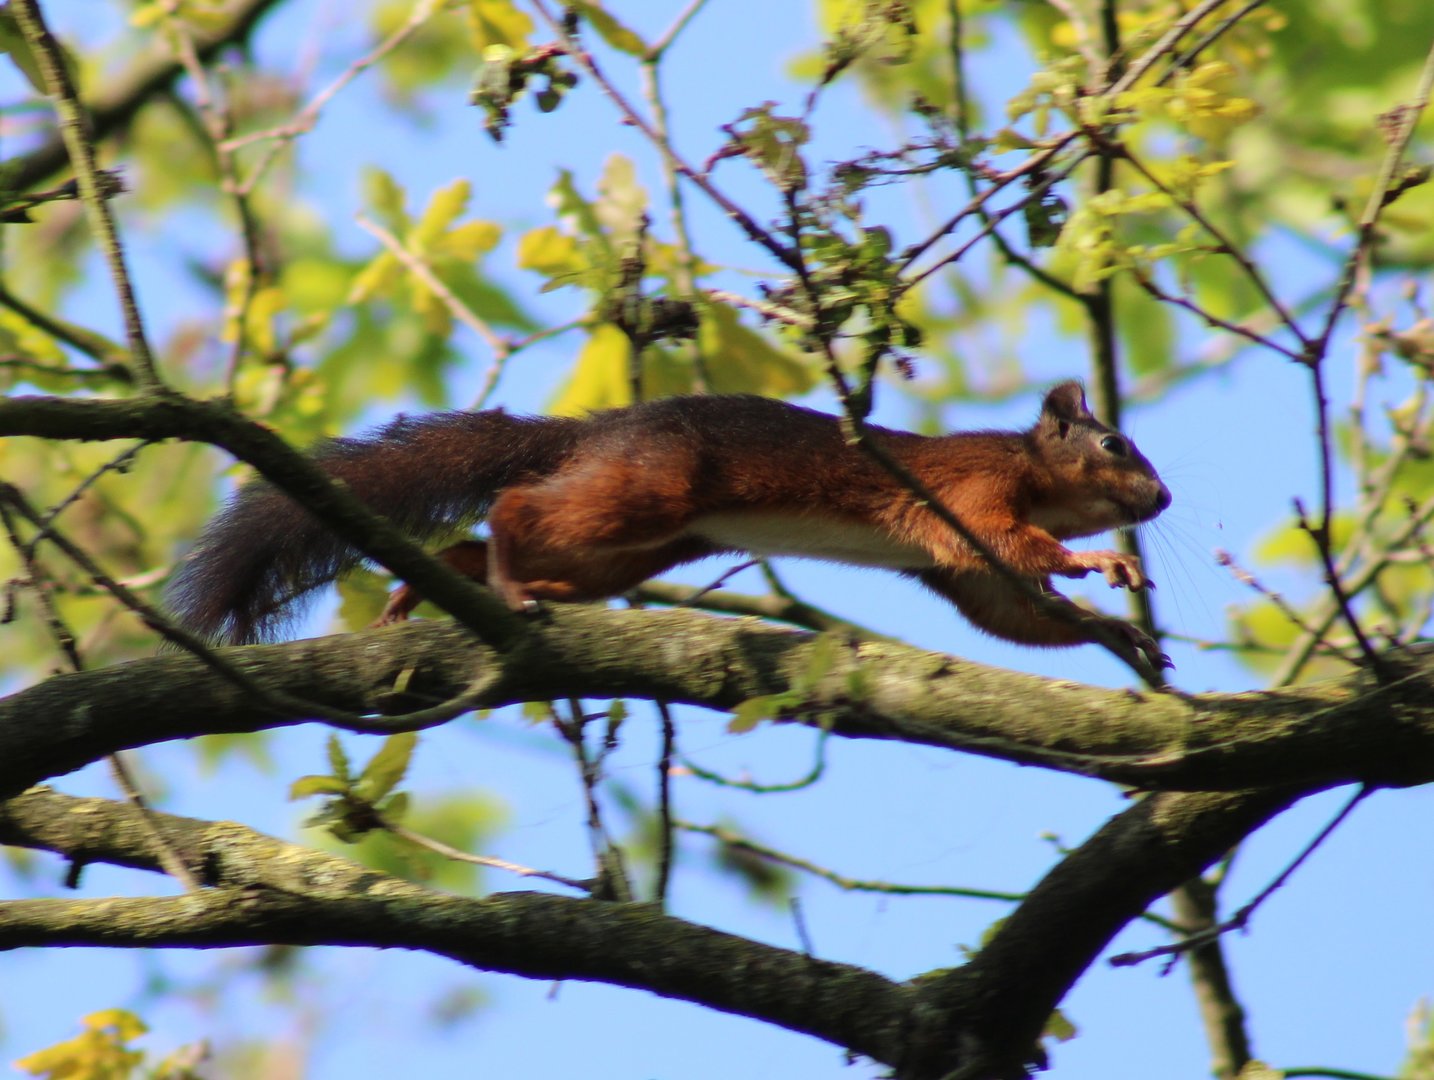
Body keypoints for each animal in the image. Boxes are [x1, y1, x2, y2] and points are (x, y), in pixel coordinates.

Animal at [166, 381, 1172, 670]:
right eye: (1115, 443)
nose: (1161, 502)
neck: (1034, 473)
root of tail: (599, 431)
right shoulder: (968, 493)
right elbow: (1013, 548)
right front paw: (1100, 566)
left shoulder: (956, 568)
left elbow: (1011, 614)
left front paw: (1113, 633)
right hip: (648, 495)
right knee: (514, 508)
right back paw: (509, 583)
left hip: (633, 549)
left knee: (474, 539)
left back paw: (439, 589)